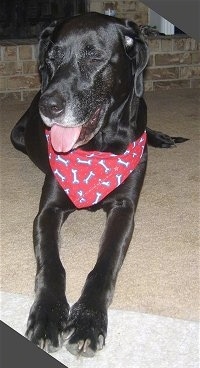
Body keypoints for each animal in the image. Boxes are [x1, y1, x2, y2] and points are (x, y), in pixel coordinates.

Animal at [9, 13, 188, 356]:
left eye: (94, 57)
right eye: (50, 58)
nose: (48, 106)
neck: (98, 147)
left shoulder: (124, 209)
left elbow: (105, 264)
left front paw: (88, 321)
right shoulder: (48, 211)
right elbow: (52, 264)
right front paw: (48, 315)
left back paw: (162, 137)